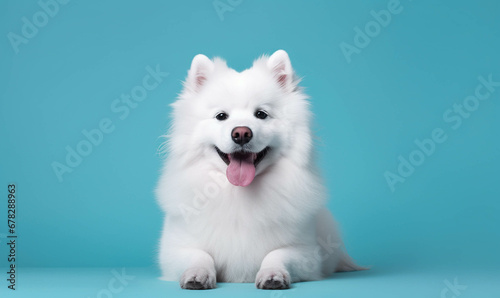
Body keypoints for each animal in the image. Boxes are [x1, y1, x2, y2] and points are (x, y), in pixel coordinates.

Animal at [156, 49, 364, 288]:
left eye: (261, 114)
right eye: (221, 116)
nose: (241, 133)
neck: (238, 194)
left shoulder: (305, 252)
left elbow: (276, 254)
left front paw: (273, 275)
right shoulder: (174, 250)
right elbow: (200, 255)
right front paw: (197, 275)